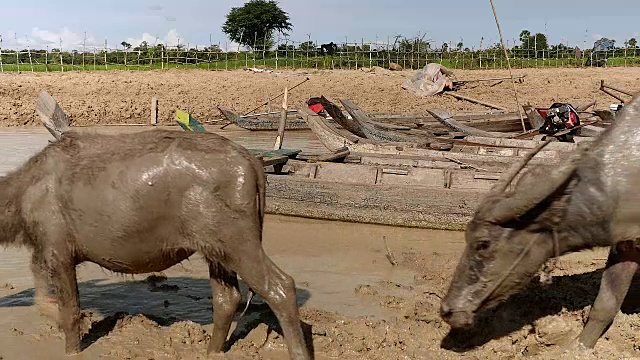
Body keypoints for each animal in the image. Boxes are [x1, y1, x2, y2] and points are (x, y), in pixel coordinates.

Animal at [0, 128, 310, 358]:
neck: (17, 202)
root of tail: (253, 163)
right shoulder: (42, 249)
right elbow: (42, 296)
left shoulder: (59, 250)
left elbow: (70, 311)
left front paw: (72, 346)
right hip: (215, 246)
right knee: (227, 297)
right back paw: (211, 351)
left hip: (238, 240)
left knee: (281, 287)